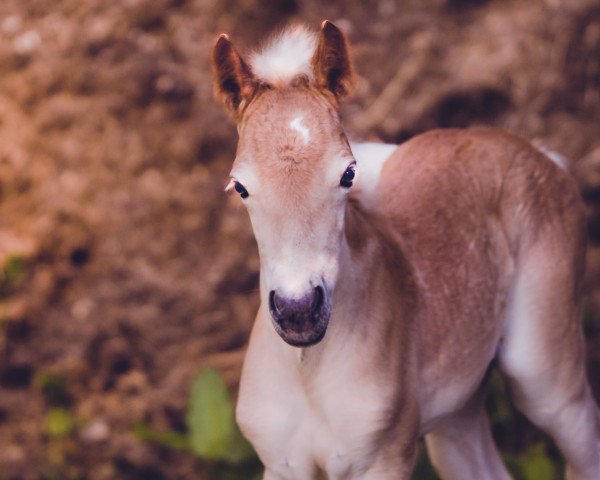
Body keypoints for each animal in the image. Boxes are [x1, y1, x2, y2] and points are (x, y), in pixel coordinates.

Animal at [212, 20, 600, 478]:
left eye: (348, 173)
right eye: (240, 187)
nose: (298, 310)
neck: (308, 368)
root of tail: (539, 153)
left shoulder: (385, 460)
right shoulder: (281, 465)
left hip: (546, 379)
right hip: (457, 410)